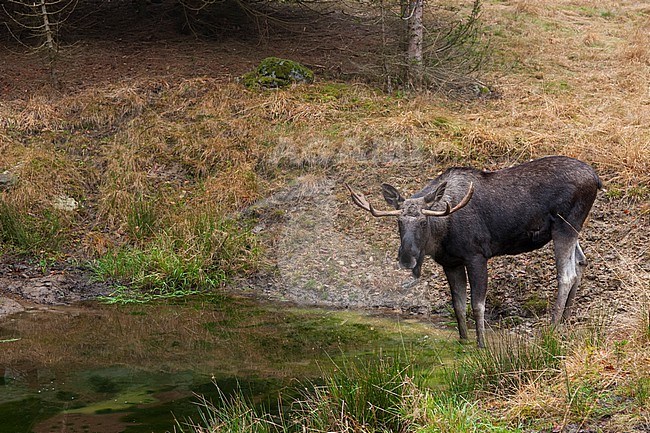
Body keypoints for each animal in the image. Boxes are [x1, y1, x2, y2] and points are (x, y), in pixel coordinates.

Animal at [346, 157, 600, 346]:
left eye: (423, 222)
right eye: (398, 222)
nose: (407, 258)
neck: (443, 233)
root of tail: (596, 178)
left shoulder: (476, 256)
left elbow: (477, 304)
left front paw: (481, 343)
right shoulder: (451, 263)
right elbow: (458, 304)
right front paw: (463, 339)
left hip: (564, 225)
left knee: (566, 275)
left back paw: (553, 327)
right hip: (571, 229)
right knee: (581, 262)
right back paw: (565, 320)